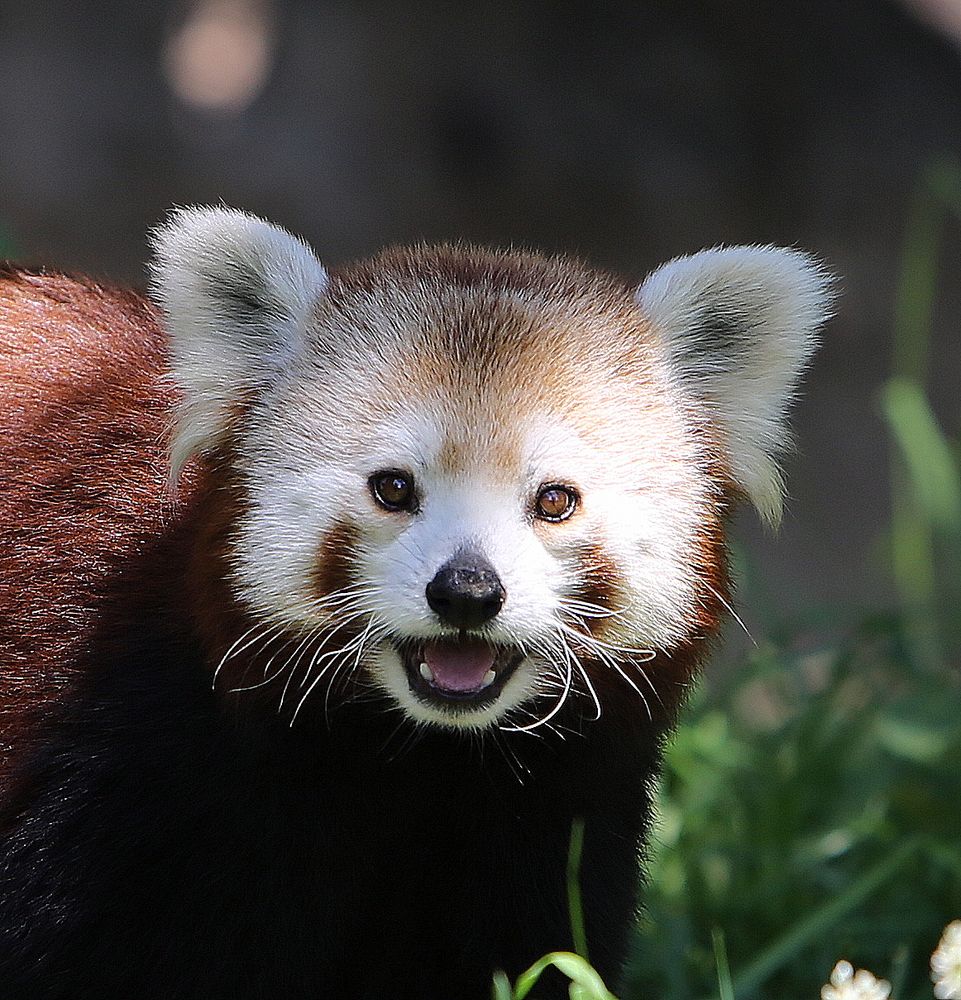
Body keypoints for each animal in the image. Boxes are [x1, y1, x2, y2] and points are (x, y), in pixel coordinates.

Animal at [0, 207, 828, 996]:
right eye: (394, 487)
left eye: (553, 500)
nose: (466, 592)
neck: (416, 760)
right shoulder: (136, 779)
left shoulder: (548, 822)